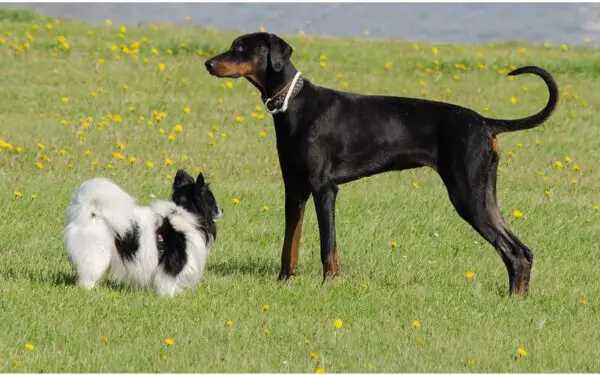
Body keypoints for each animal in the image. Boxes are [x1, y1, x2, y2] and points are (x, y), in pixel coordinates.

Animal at [62, 170, 220, 296]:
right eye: (212, 201)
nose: (222, 210)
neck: (183, 214)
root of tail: (89, 214)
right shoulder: (174, 260)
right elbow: (169, 280)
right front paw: (169, 296)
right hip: (97, 254)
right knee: (88, 276)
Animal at [205, 32, 556, 296]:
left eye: (242, 47)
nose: (208, 63)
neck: (295, 104)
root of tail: (484, 122)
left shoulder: (323, 188)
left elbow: (327, 245)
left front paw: (329, 284)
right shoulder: (294, 189)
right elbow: (289, 245)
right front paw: (283, 282)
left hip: (467, 194)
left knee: (513, 251)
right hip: (483, 194)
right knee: (521, 251)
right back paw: (516, 298)